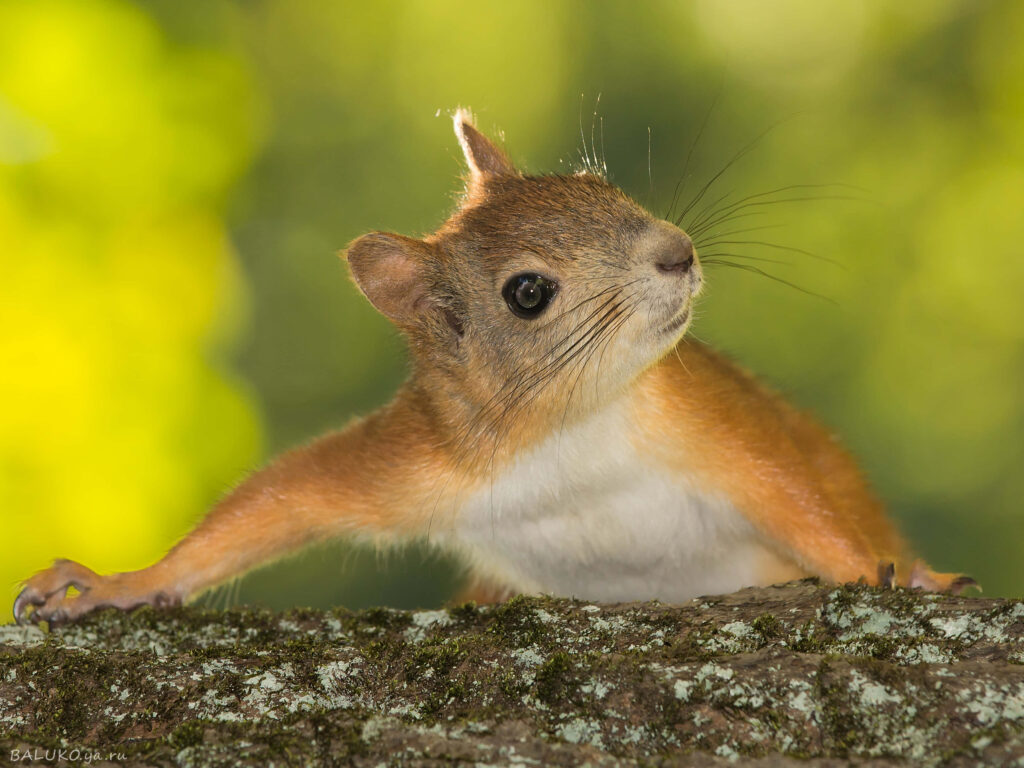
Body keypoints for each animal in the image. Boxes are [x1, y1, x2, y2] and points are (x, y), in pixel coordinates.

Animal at [14, 109, 974, 626]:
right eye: (527, 293)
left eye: (594, 184)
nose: (678, 252)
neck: (567, 432)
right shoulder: (426, 458)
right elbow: (287, 496)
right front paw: (120, 585)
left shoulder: (706, 417)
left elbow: (795, 492)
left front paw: (903, 572)